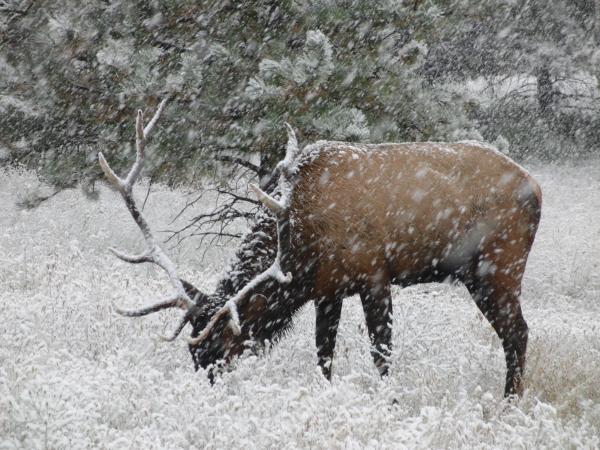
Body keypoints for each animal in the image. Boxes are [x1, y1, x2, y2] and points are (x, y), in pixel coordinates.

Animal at [98, 99, 540, 398]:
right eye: (194, 351)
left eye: (220, 343)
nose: (206, 385)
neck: (301, 251)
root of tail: (536, 187)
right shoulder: (328, 289)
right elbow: (323, 354)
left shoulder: (374, 274)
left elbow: (382, 353)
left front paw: (390, 403)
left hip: (499, 264)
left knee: (518, 332)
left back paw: (509, 404)